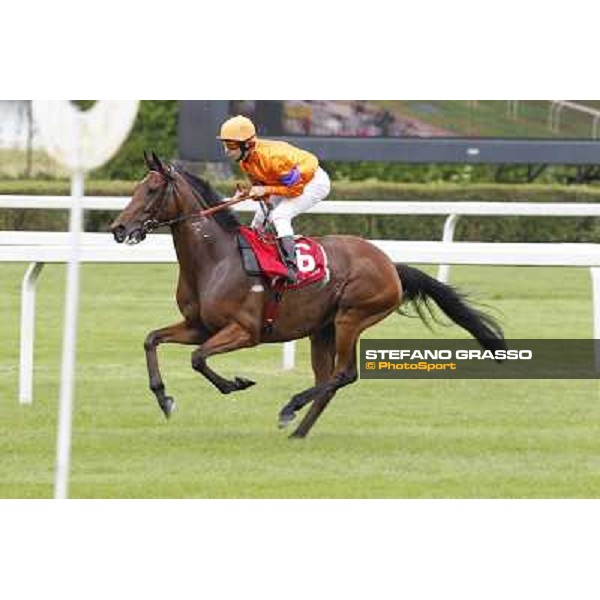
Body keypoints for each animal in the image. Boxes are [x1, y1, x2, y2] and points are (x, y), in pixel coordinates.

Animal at [110, 152, 504, 438]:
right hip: (322, 329)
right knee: (327, 381)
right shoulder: (199, 326)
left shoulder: (245, 331)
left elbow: (198, 358)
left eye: (151, 190)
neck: (216, 259)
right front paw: (164, 398)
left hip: (351, 316)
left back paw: (290, 408)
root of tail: (390, 265)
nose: (118, 228)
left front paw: (236, 383)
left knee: (344, 374)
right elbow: (152, 339)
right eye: (137, 187)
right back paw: (298, 431)